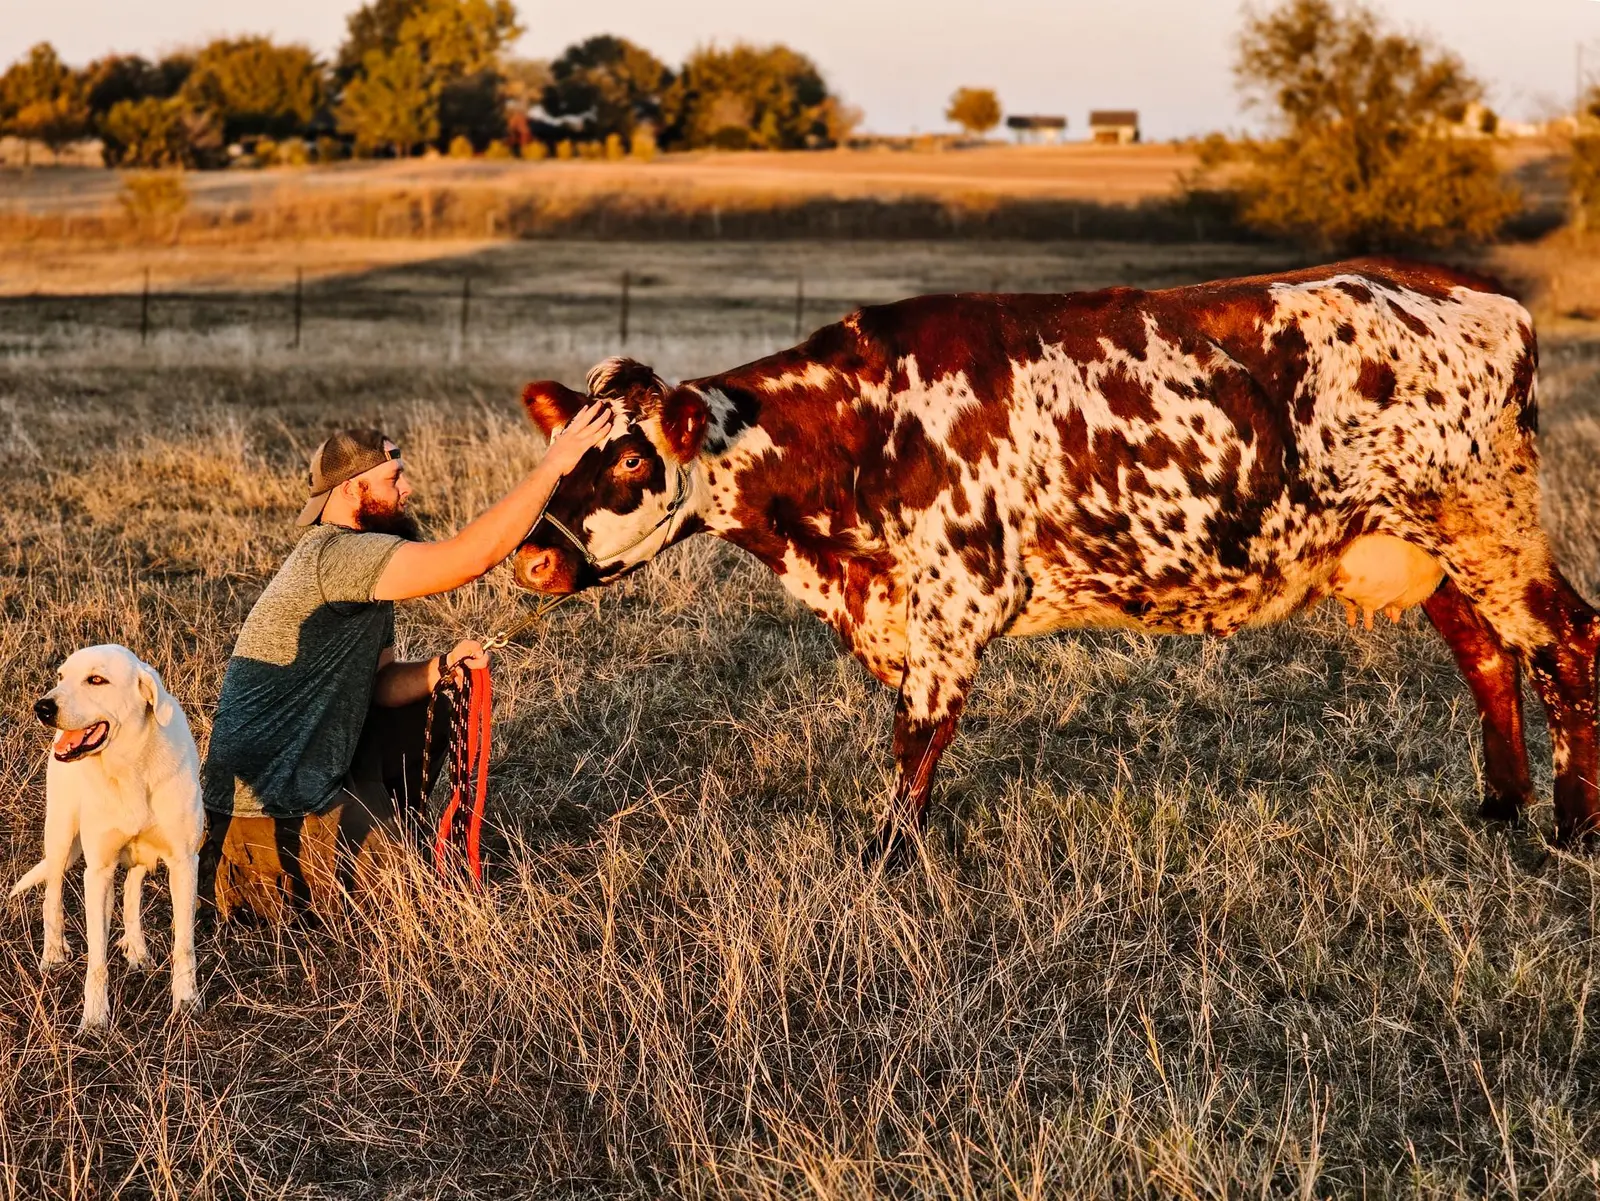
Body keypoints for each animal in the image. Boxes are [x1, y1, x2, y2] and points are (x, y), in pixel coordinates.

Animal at [511, 258, 1600, 861]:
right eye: (563, 448)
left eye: (629, 458)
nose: (530, 560)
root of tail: (1470, 294)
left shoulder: (955, 597)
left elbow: (915, 739)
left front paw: (883, 860)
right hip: (1426, 542)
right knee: (1486, 654)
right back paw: (1499, 805)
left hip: (1485, 520)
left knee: (1564, 646)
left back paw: (1570, 828)